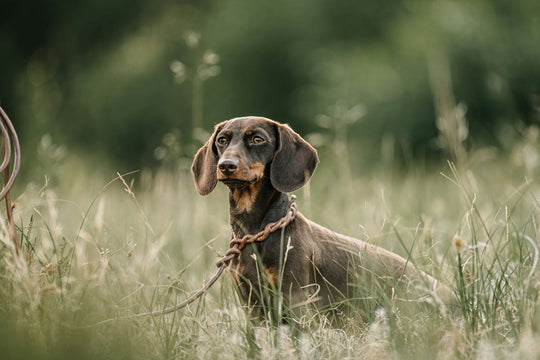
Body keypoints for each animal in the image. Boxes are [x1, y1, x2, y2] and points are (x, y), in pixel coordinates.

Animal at [192, 116, 454, 320]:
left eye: (257, 139)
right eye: (222, 140)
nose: (226, 165)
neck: (257, 233)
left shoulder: (295, 296)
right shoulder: (251, 301)